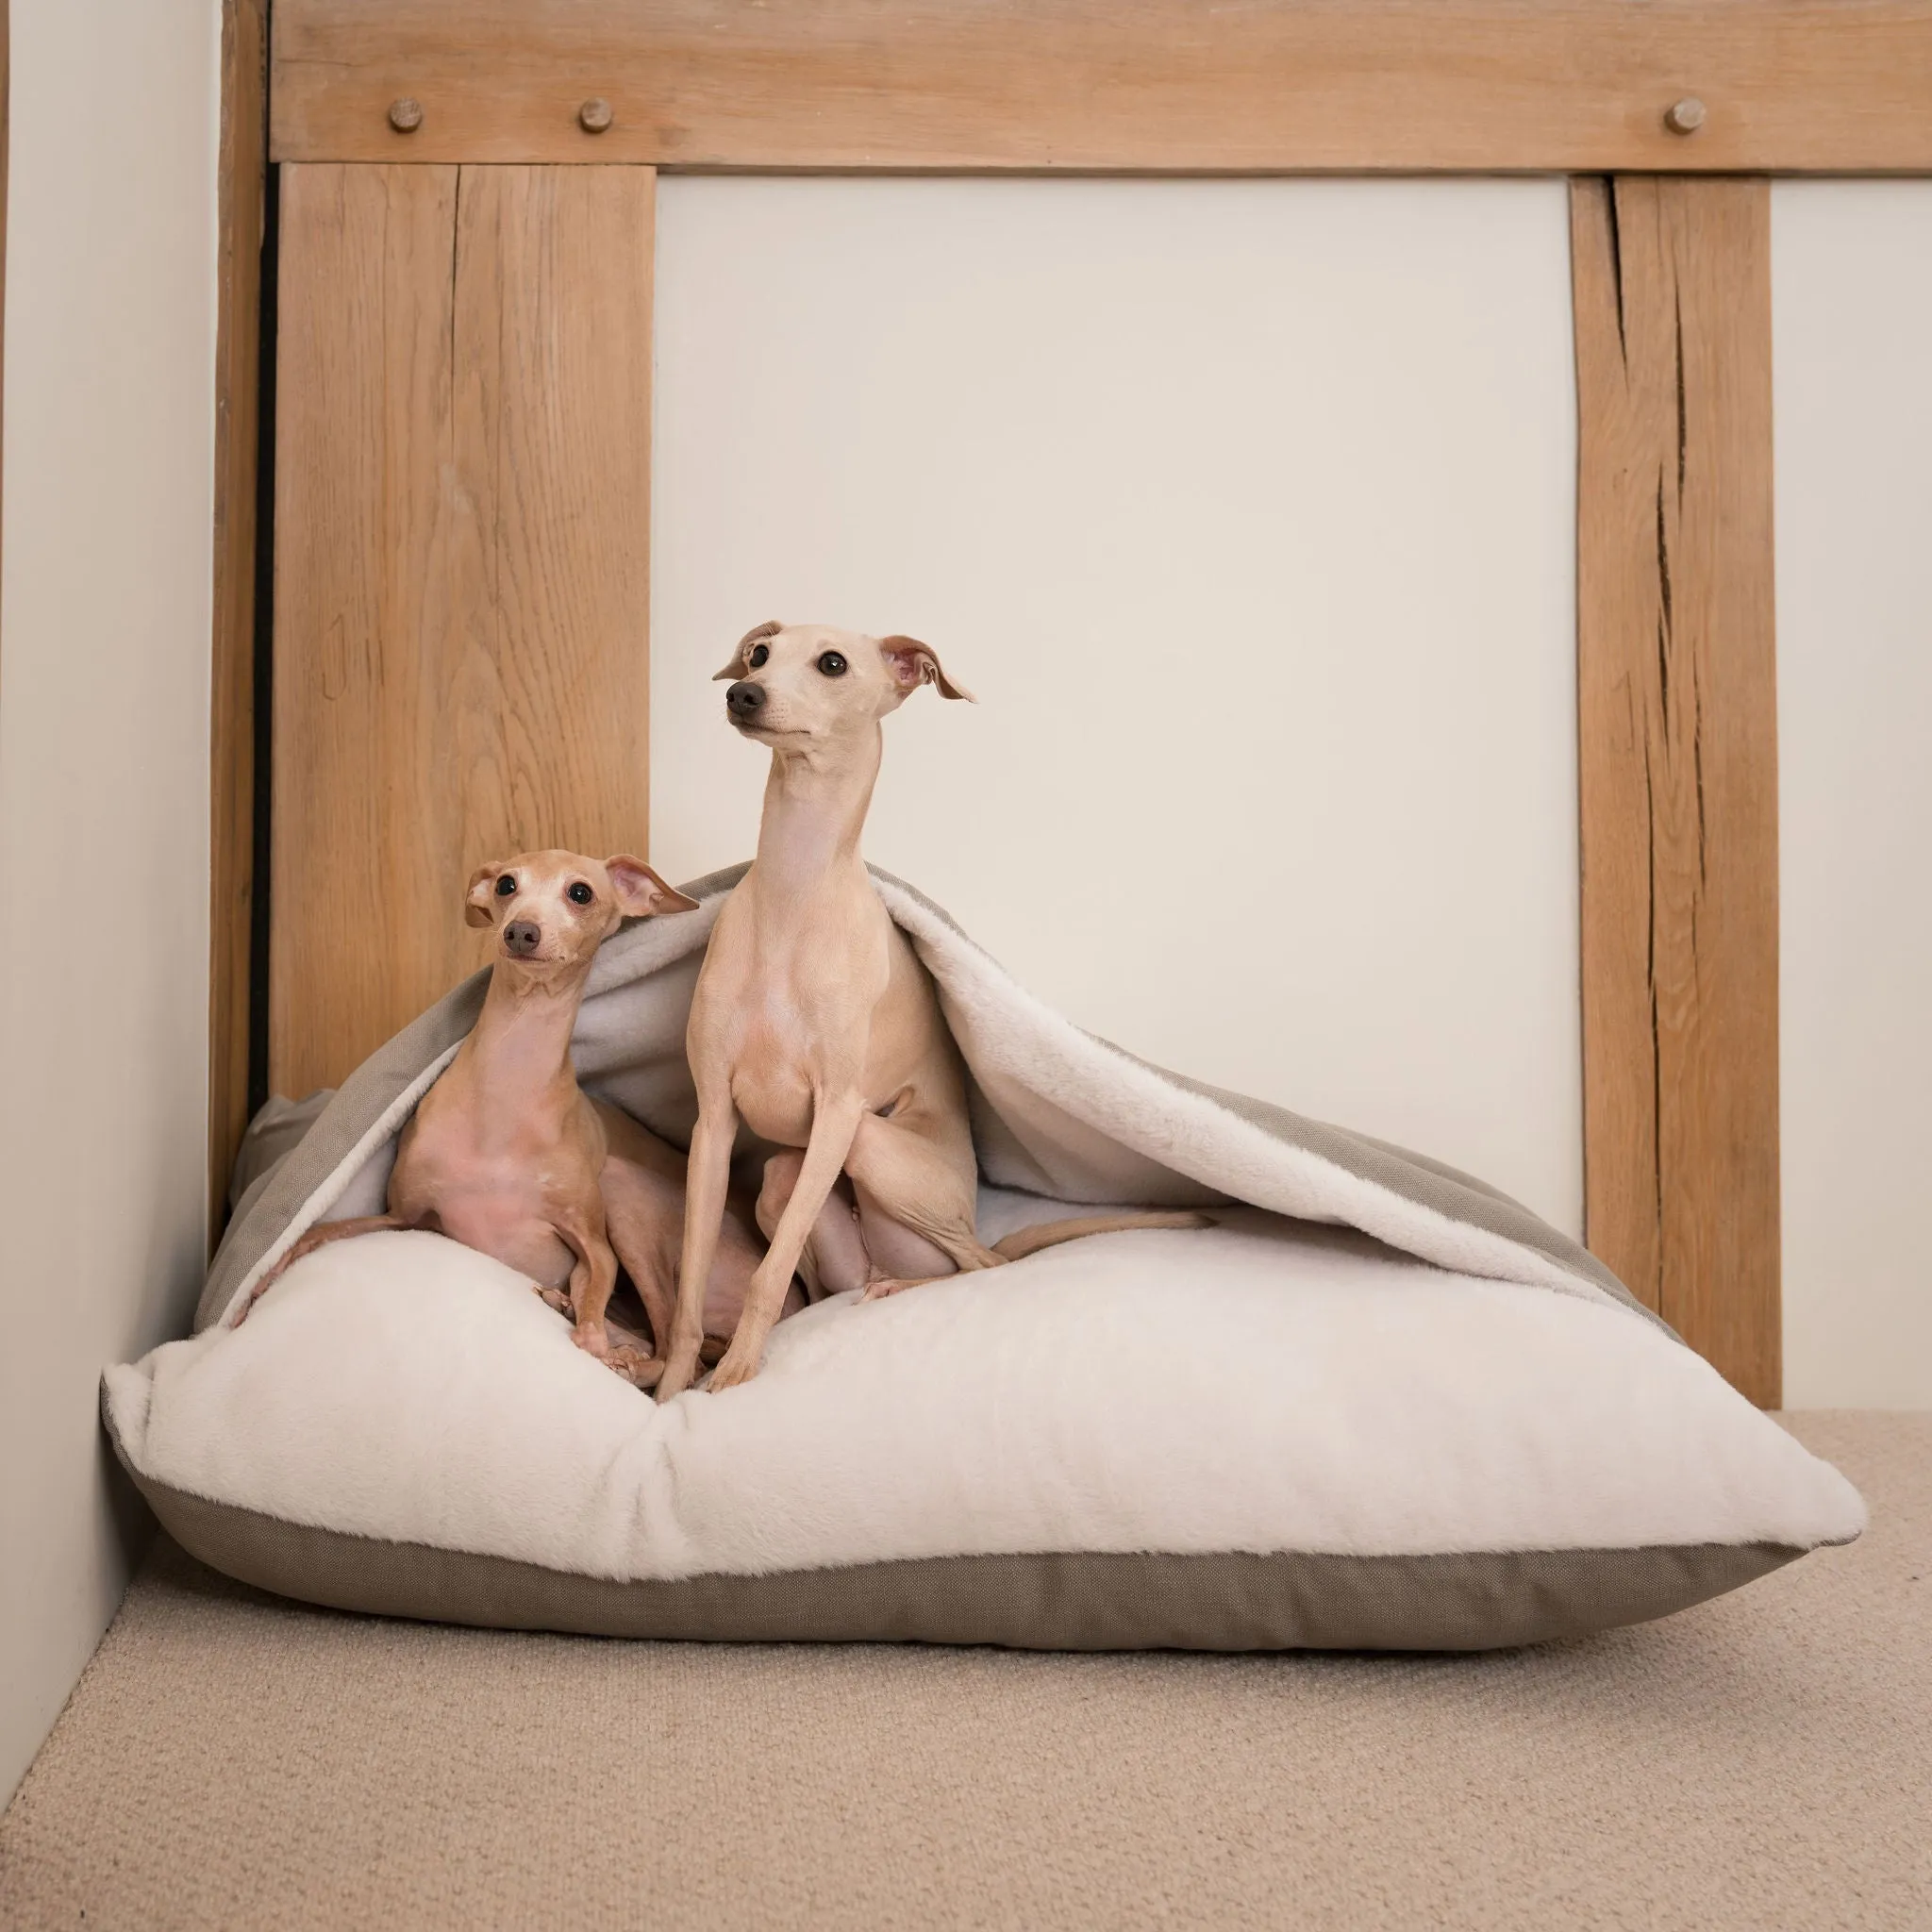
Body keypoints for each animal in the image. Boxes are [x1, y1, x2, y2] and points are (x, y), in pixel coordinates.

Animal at [229, 854, 765, 1383]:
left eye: (580, 892)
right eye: (507, 884)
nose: (521, 931)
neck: (504, 1101)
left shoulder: (595, 1244)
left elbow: (596, 1296)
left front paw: (594, 1338)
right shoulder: (403, 1215)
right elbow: (320, 1233)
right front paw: (258, 1287)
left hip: (626, 1193)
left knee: (679, 1349)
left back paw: (619, 1353)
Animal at [664, 625, 1205, 1398]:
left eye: (832, 663)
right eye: (761, 655)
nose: (743, 694)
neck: (791, 899)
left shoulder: (836, 1112)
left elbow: (766, 1276)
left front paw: (736, 1372)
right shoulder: (713, 1121)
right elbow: (691, 1282)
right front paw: (668, 1387)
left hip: (872, 1147)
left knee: (982, 1265)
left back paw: (906, 1287)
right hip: (780, 1184)